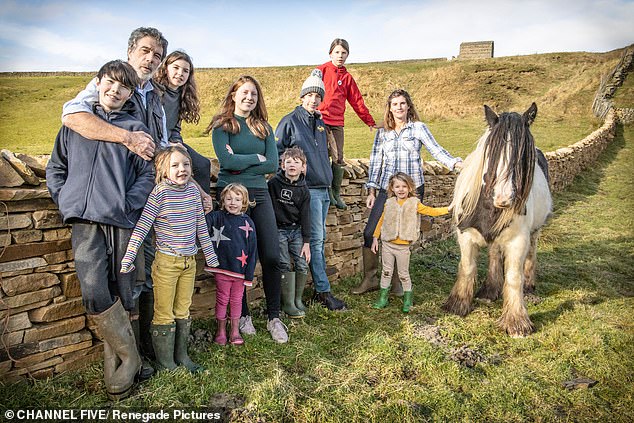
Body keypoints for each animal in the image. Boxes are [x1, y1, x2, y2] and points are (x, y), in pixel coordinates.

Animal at [442, 103, 552, 338]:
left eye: (523, 157)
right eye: (491, 153)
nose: (504, 199)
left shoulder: (518, 241)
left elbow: (514, 277)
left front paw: (516, 322)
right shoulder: (465, 236)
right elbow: (467, 267)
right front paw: (458, 304)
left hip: (535, 232)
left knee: (531, 255)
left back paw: (529, 285)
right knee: (494, 254)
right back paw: (489, 290)